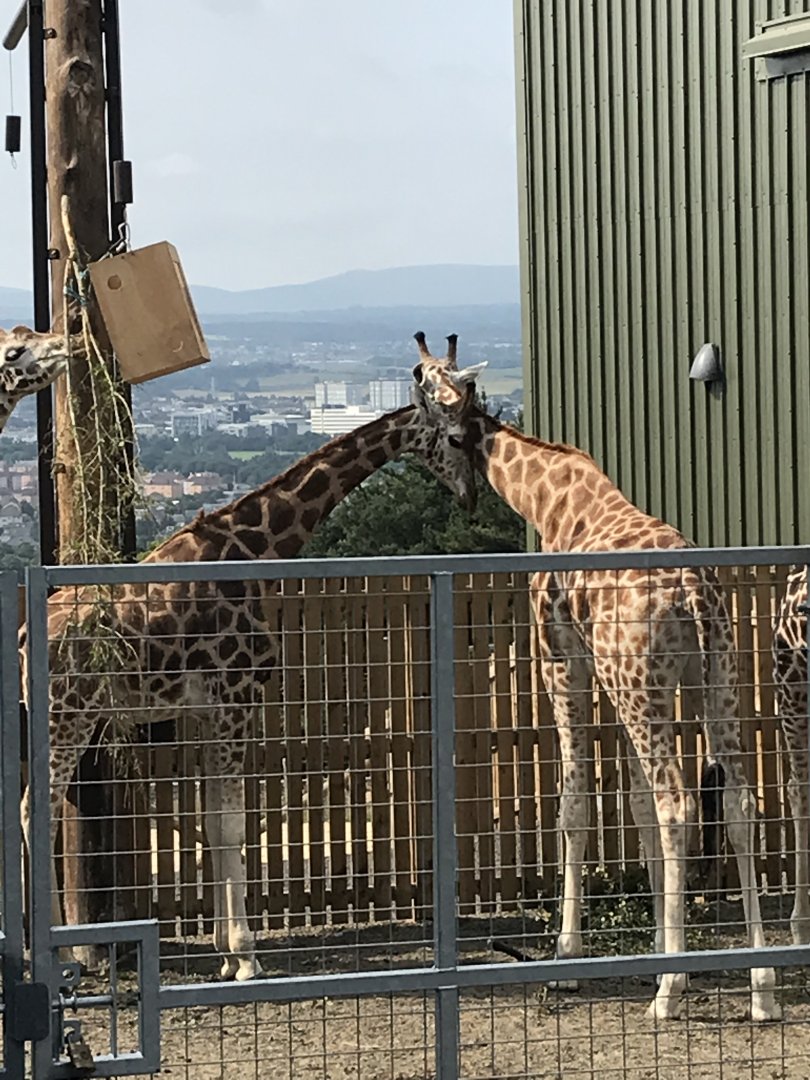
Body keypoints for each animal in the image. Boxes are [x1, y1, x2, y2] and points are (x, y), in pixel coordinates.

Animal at [20, 398, 476, 982]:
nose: (470, 495)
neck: (253, 546)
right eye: (459, 436)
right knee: (37, 810)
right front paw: (246, 955)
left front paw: (223, 951)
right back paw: (53, 958)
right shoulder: (238, 697)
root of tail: (26, 637)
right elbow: (235, 824)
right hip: (68, 718)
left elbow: (215, 822)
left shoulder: (208, 711)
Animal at [410, 332, 780, 1022]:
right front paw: (658, 945)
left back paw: (670, 992)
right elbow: (632, 805)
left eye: (423, 389)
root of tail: (694, 593)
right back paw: (762, 986)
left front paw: (568, 960)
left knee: (678, 802)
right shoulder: (620, 678)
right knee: (737, 802)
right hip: (710, 679)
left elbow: (575, 804)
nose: (456, 490)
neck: (544, 499)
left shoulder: (564, 663)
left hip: (643, 687)